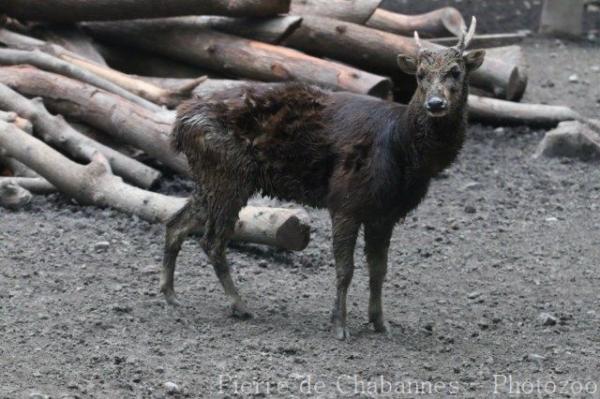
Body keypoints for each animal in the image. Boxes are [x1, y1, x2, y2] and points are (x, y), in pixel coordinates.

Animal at [162, 17, 486, 340]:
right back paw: (240, 305)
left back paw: (172, 296)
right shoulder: (345, 200)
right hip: (229, 175)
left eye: (456, 71)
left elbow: (379, 269)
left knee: (176, 224)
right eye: (420, 75)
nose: (435, 103)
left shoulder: (385, 213)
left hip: (210, 176)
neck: (403, 149)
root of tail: (180, 123)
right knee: (212, 240)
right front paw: (339, 326)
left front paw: (381, 323)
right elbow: (346, 269)